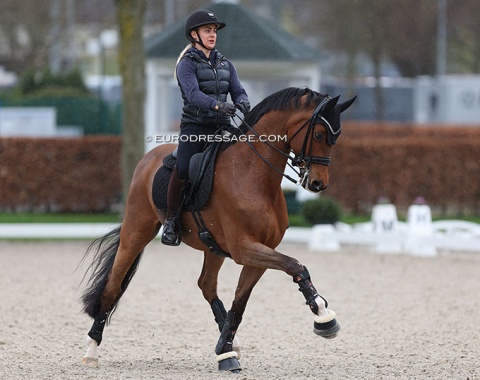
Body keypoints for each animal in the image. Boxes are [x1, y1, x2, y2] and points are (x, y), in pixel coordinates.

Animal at [79, 85, 356, 372]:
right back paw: (91, 350)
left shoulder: (260, 252)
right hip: (136, 232)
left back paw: (229, 346)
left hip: (212, 247)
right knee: (113, 285)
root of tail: (147, 159)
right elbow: (295, 265)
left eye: (335, 137)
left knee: (206, 285)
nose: (317, 184)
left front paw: (226, 347)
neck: (253, 176)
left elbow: (240, 303)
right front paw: (323, 315)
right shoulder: (244, 248)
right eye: (319, 134)